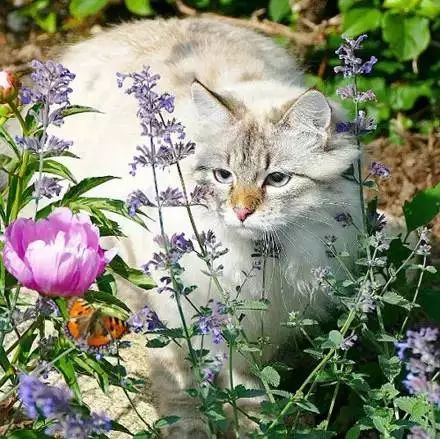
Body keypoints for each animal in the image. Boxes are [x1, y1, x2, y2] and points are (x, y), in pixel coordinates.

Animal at [55, 16, 360, 436]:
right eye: (222, 176)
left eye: (277, 180)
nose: (242, 212)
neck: (256, 257)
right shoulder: (175, 312)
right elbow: (180, 385)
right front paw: (192, 426)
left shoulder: (262, 325)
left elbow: (247, 382)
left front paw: (256, 422)